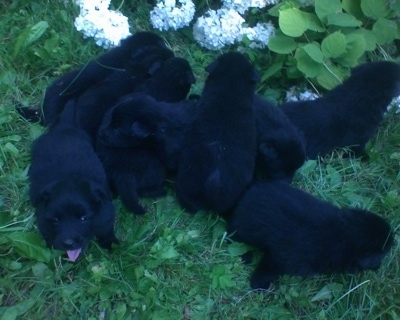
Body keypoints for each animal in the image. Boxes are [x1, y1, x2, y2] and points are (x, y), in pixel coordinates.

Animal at [28, 101, 117, 262]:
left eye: (83, 218)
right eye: (55, 220)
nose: (69, 243)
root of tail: (64, 128)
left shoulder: (106, 214)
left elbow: (106, 230)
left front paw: (111, 244)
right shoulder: (43, 221)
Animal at [227, 180, 396, 290]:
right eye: (383, 254)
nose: (378, 267)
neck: (342, 234)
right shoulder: (283, 258)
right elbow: (269, 268)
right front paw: (259, 285)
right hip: (240, 231)